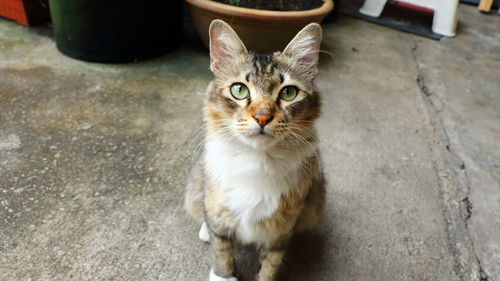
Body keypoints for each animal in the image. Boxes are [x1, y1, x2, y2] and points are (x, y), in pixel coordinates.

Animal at [184, 19, 324, 280]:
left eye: (288, 93)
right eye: (239, 90)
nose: (262, 117)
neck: (256, 160)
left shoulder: (280, 231)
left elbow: (270, 265)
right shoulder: (218, 209)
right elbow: (222, 250)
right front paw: (223, 275)